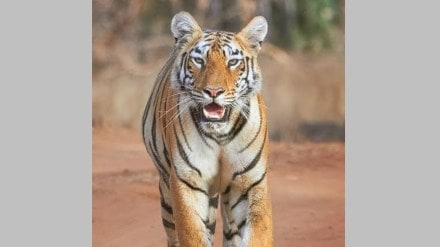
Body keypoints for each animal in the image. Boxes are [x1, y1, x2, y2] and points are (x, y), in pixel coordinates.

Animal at [143, 11, 272, 247]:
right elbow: (192, 233)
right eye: (199, 60)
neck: (220, 134)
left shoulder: (250, 183)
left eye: (233, 62)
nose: (213, 91)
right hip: (167, 190)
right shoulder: (187, 182)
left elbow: (259, 233)